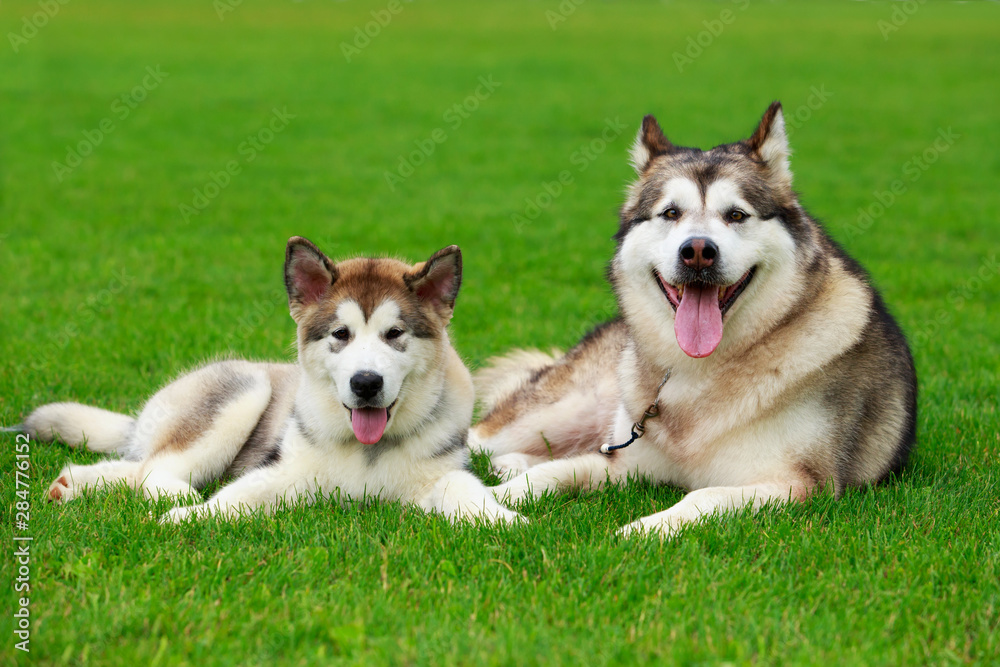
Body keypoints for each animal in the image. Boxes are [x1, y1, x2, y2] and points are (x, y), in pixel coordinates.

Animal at [26, 237, 520, 524]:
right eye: (341, 334)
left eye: (394, 334)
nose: (366, 383)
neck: (368, 453)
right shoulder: (287, 474)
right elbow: (233, 499)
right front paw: (188, 517)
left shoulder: (437, 477)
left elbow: (465, 491)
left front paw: (506, 521)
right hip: (245, 390)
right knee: (152, 470)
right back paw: (175, 494)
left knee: (132, 466)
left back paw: (72, 483)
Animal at [472, 105, 916, 544]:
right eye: (671, 213)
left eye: (736, 215)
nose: (698, 250)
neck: (698, 370)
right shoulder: (626, 463)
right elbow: (554, 471)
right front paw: (493, 500)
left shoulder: (799, 484)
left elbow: (705, 494)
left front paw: (643, 528)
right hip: (568, 407)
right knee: (479, 437)